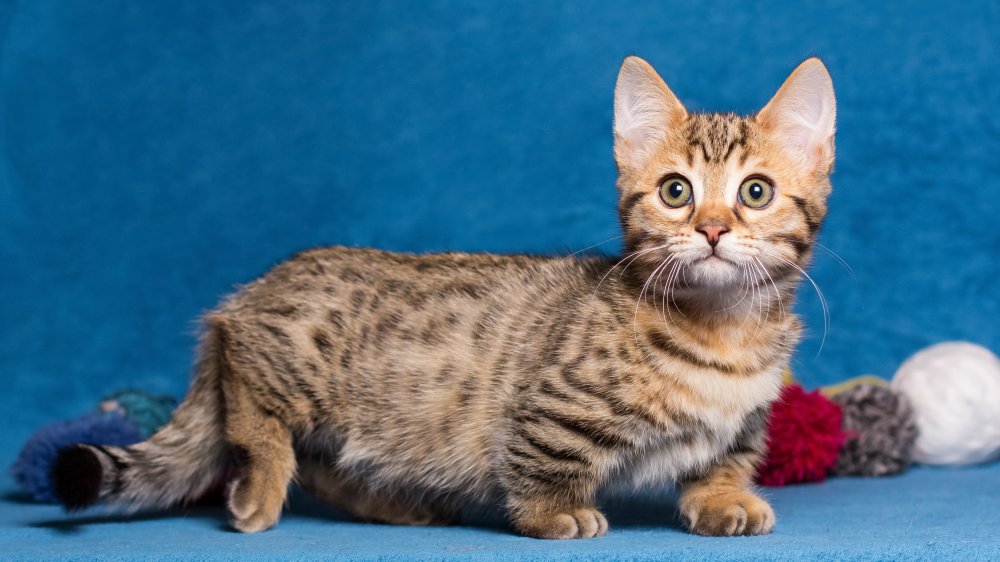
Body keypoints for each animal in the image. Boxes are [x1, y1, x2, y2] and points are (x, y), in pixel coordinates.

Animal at [52, 57, 836, 540]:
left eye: (754, 192)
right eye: (676, 191)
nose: (712, 228)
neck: (724, 332)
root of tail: (246, 296)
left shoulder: (742, 424)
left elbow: (722, 461)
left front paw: (723, 501)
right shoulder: (549, 408)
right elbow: (543, 463)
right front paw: (554, 514)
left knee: (329, 465)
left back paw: (396, 505)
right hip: (287, 360)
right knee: (256, 406)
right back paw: (261, 485)